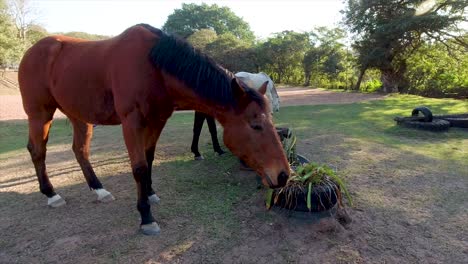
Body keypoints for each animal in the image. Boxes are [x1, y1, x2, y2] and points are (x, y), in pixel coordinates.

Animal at [20, 24, 290, 235]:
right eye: (255, 125)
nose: (283, 175)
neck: (153, 66)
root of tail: (32, 51)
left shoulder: (157, 120)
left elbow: (148, 160)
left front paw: (149, 194)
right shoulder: (132, 123)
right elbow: (139, 167)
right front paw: (146, 217)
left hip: (79, 116)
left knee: (80, 151)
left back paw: (99, 190)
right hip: (40, 114)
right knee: (37, 150)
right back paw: (51, 194)